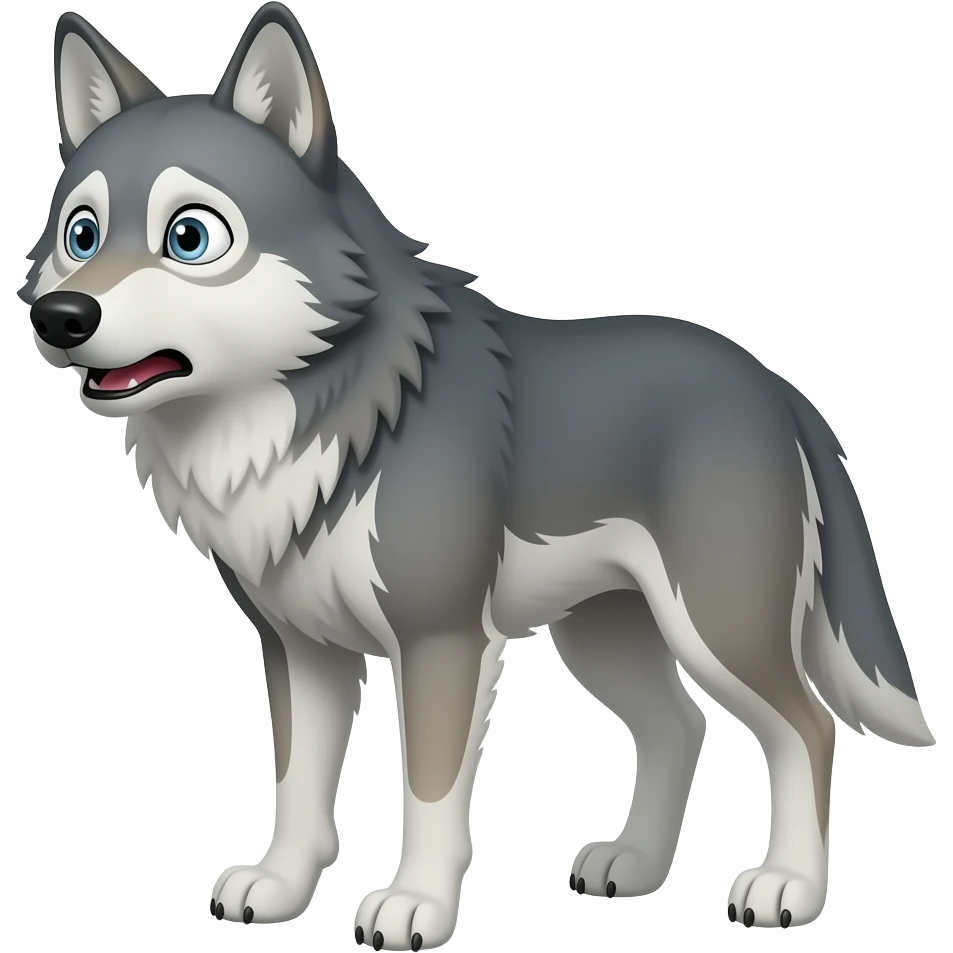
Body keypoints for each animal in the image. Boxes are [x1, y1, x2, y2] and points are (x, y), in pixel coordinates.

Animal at [20, 3, 934, 947]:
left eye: (190, 237)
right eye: (81, 234)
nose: (57, 316)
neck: (321, 414)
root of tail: (777, 386)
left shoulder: (442, 639)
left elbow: (428, 790)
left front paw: (414, 903)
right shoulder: (300, 647)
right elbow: (298, 785)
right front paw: (278, 887)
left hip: (715, 627)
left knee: (806, 728)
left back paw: (787, 886)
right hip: (602, 633)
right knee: (680, 727)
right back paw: (634, 866)